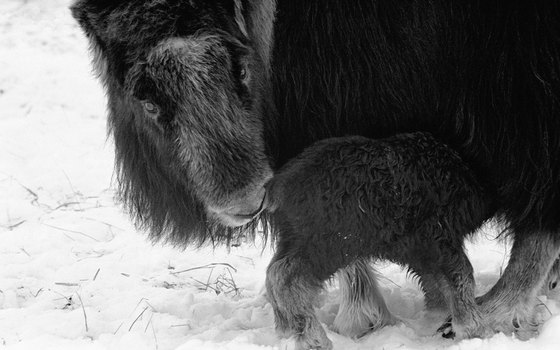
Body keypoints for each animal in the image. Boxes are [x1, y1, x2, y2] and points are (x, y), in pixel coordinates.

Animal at [264, 133, 492, 348]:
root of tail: (278, 187)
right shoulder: (439, 239)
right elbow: (460, 275)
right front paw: (473, 329)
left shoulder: (422, 250)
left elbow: (437, 284)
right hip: (329, 245)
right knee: (284, 277)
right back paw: (314, 339)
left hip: (296, 239)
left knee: (272, 271)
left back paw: (285, 328)